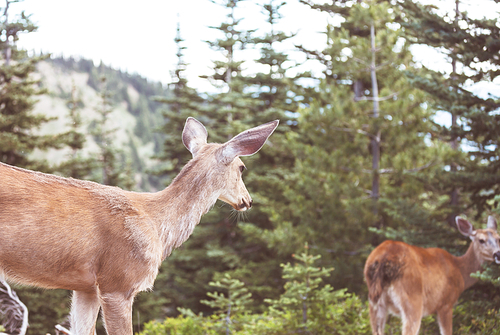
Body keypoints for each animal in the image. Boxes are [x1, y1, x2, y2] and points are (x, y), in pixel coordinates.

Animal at [364, 217, 500, 335]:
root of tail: (383, 258)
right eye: (481, 240)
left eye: (498, 238)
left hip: (375, 302)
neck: (460, 271)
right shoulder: (446, 304)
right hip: (412, 298)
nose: (497, 254)